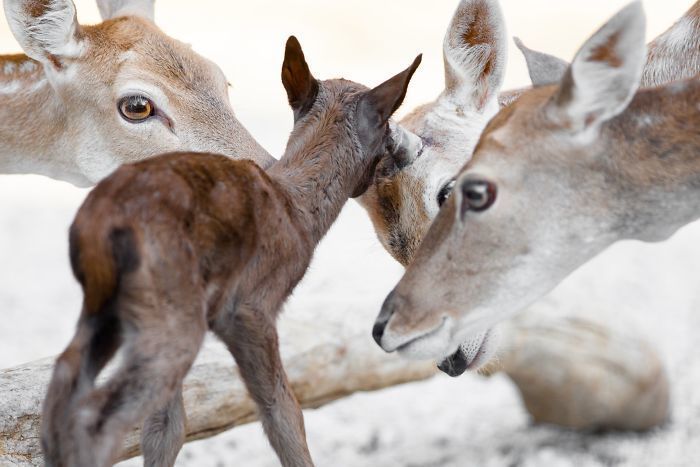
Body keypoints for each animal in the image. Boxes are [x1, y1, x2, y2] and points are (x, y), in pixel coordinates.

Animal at [41, 35, 422, 467]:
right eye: (388, 129)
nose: (404, 156)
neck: (298, 209)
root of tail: (97, 225)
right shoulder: (248, 308)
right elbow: (283, 413)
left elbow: (166, 427)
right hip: (171, 313)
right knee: (99, 413)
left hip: (114, 309)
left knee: (65, 383)